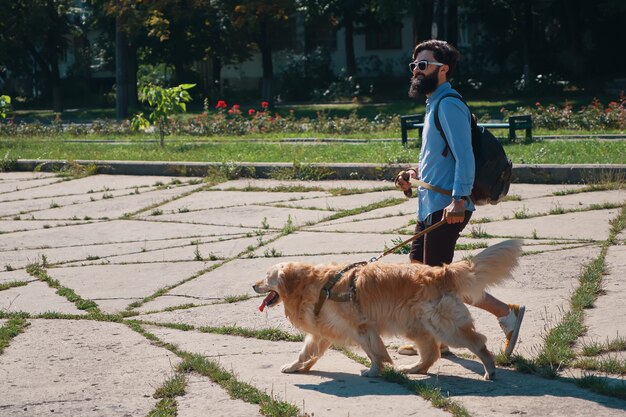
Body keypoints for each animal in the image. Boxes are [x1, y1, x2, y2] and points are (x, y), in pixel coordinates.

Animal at [251, 239, 520, 378]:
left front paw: (373, 370)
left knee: (477, 342)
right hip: (417, 326)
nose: (253, 285)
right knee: (431, 352)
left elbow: (373, 351)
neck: (314, 285)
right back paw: (414, 368)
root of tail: (441, 271)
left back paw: (490, 369)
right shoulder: (324, 330)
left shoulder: (361, 327)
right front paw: (295, 367)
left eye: (266, 277)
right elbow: (306, 352)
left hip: (445, 326)